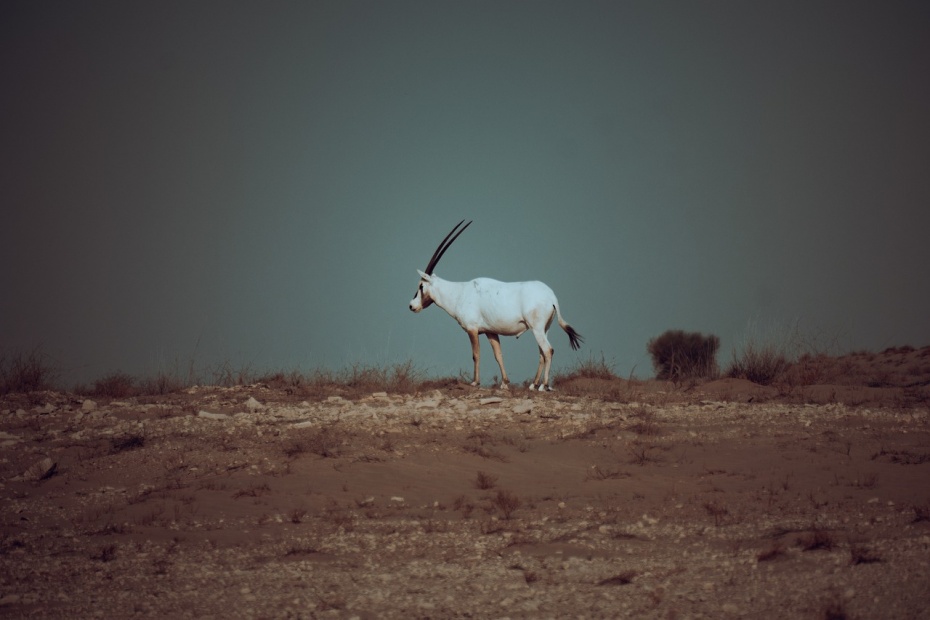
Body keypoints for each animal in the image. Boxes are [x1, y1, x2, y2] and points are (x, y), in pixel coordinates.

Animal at [406, 220, 580, 390]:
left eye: (421, 285)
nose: (412, 306)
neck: (460, 292)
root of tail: (551, 297)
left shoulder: (472, 329)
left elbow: (476, 354)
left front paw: (475, 382)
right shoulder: (490, 332)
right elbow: (498, 355)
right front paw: (504, 383)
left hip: (537, 329)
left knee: (548, 350)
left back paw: (543, 385)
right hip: (544, 329)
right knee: (542, 353)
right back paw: (533, 384)